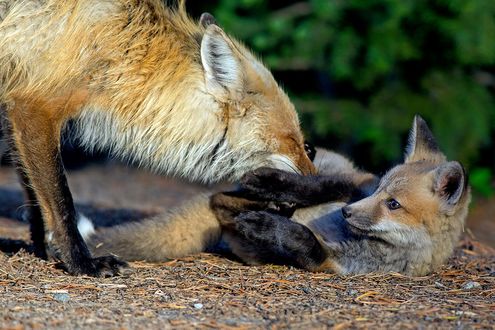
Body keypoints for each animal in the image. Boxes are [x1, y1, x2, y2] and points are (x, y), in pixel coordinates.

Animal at [0, 2, 314, 276]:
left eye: (307, 146)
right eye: (297, 142)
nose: (315, 184)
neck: (118, 42)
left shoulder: (14, 106)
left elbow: (36, 199)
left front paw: (46, 250)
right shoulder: (34, 107)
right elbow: (61, 202)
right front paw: (81, 263)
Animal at [84, 116, 472, 276]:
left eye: (394, 205)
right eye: (380, 190)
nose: (346, 214)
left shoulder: (335, 265)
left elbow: (304, 240)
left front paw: (269, 224)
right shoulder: (356, 181)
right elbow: (319, 186)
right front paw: (273, 185)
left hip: (248, 244)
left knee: (222, 204)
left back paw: (260, 212)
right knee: (228, 197)